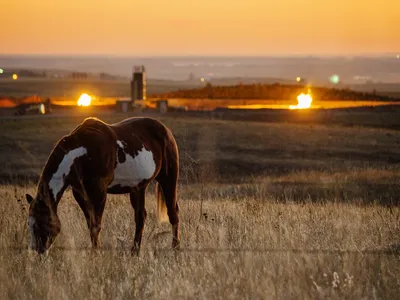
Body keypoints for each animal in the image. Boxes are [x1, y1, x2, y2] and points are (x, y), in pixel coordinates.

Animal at [25, 116, 180, 253]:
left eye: (40, 223)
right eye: (30, 224)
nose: (38, 249)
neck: (81, 154)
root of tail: (166, 130)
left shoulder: (99, 192)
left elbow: (96, 225)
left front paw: (96, 253)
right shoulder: (80, 193)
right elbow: (90, 224)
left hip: (168, 179)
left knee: (173, 213)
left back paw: (175, 248)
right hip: (138, 188)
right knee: (140, 217)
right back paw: (135, 251)